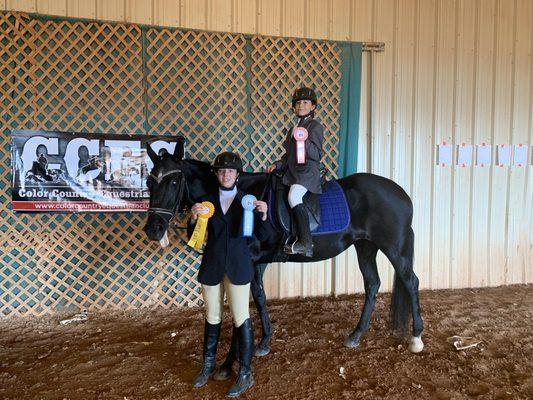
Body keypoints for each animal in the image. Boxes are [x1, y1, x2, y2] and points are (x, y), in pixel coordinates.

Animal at [142, 141, 424, 366]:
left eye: (174, 181)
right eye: (149, 182)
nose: (153, 230)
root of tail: (401, 193)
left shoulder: (249, 259)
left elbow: (250, 298)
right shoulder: (257, 262)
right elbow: (259, 297)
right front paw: (264, 341)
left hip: (393, 247)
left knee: (410, 281)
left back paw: (416, 338)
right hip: (365, 246)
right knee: (372, 284)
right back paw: (356, 335)